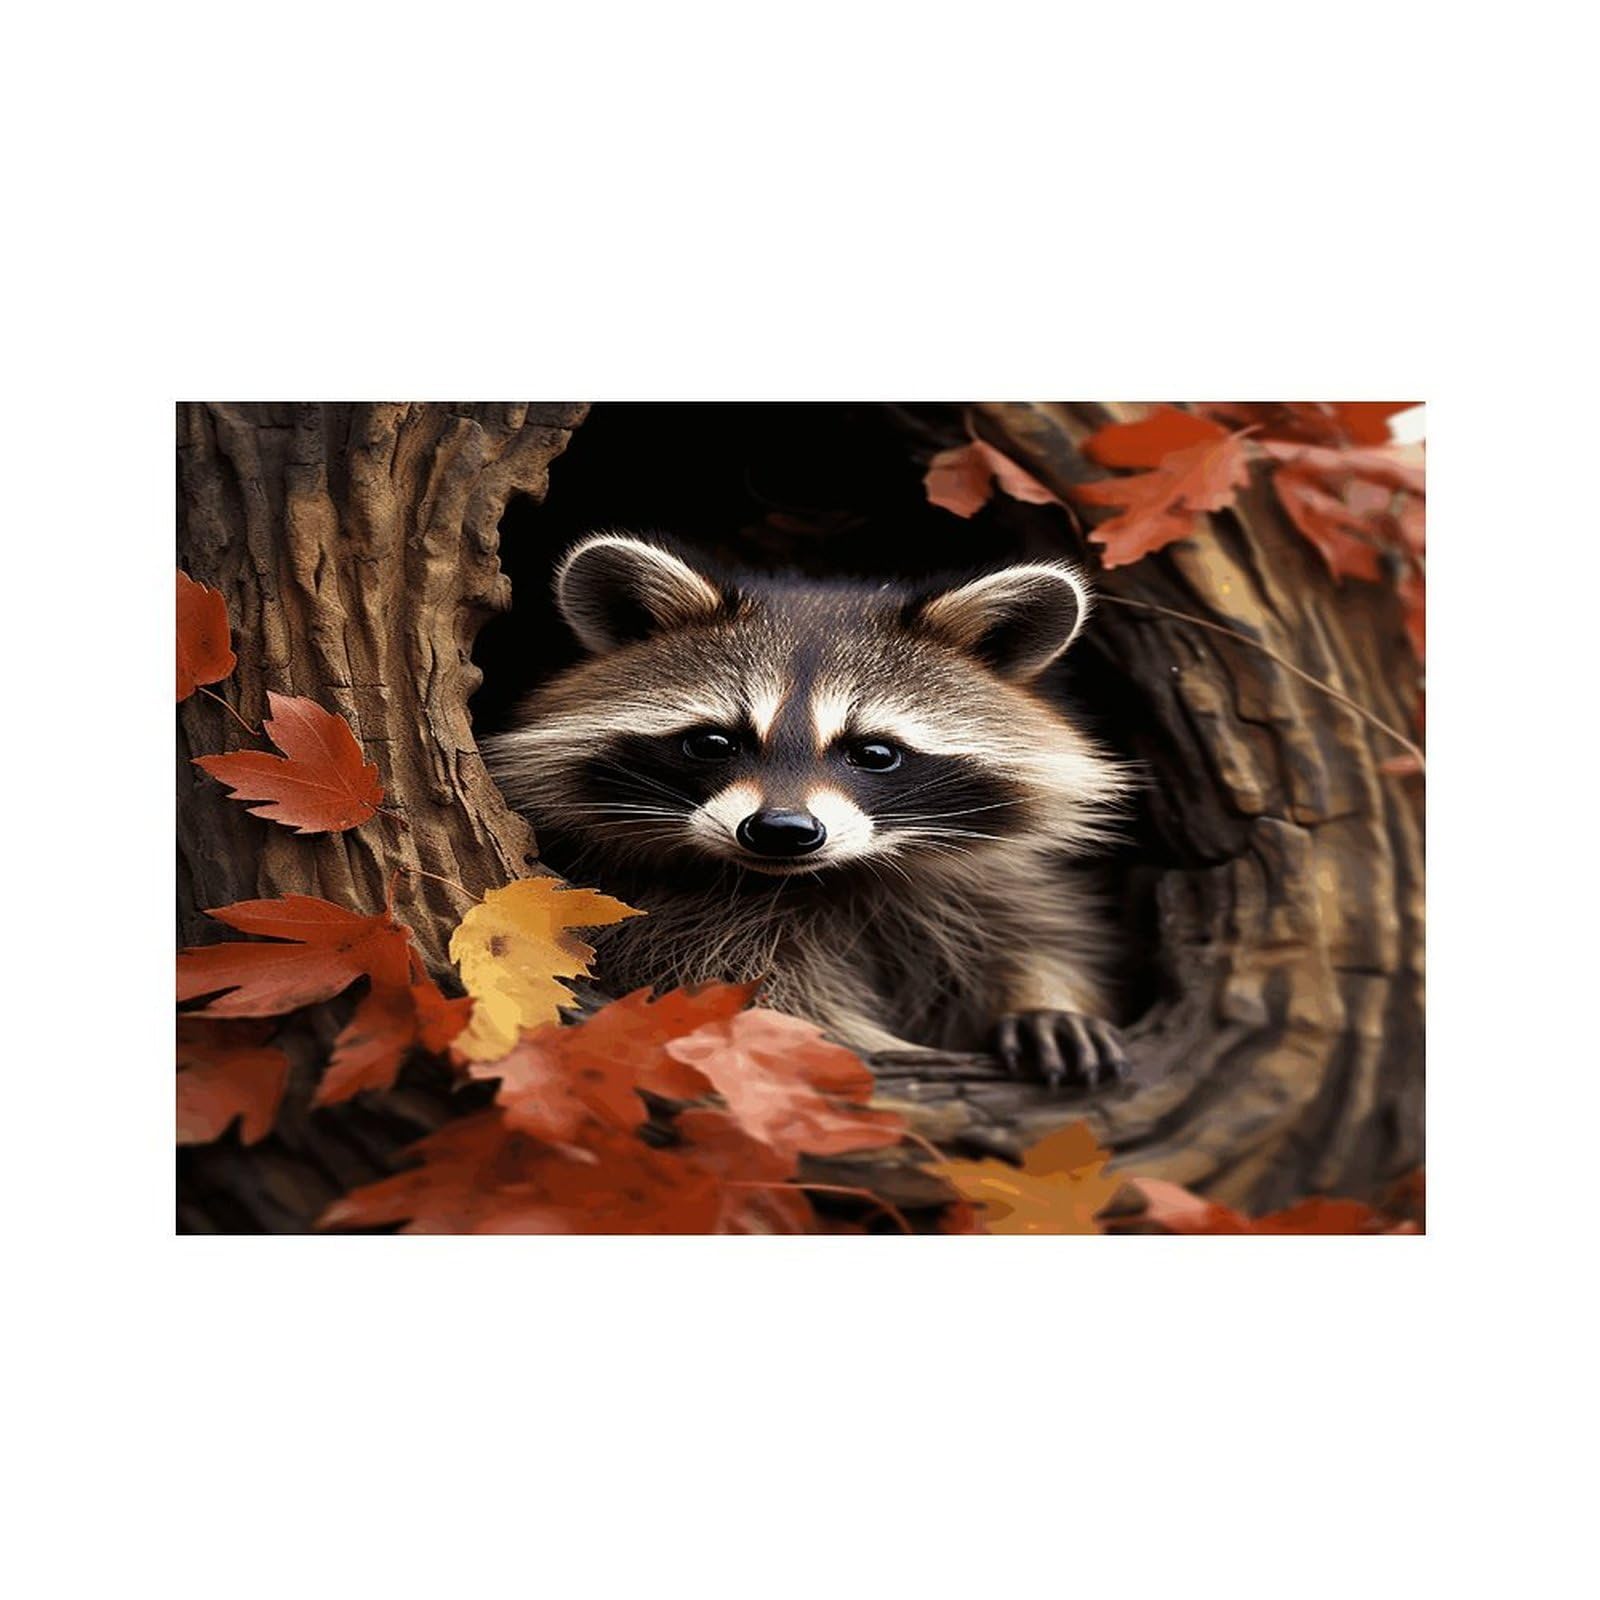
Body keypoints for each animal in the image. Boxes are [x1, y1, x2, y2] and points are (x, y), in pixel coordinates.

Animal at [483, 534, 1133, 1086]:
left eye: (875, 753)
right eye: (713, 743)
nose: (782, 830)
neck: (822, 880)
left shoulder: (981, 888)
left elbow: (1035, 935)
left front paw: (1046, 998)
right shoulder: (663, 917)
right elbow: (758, 999)